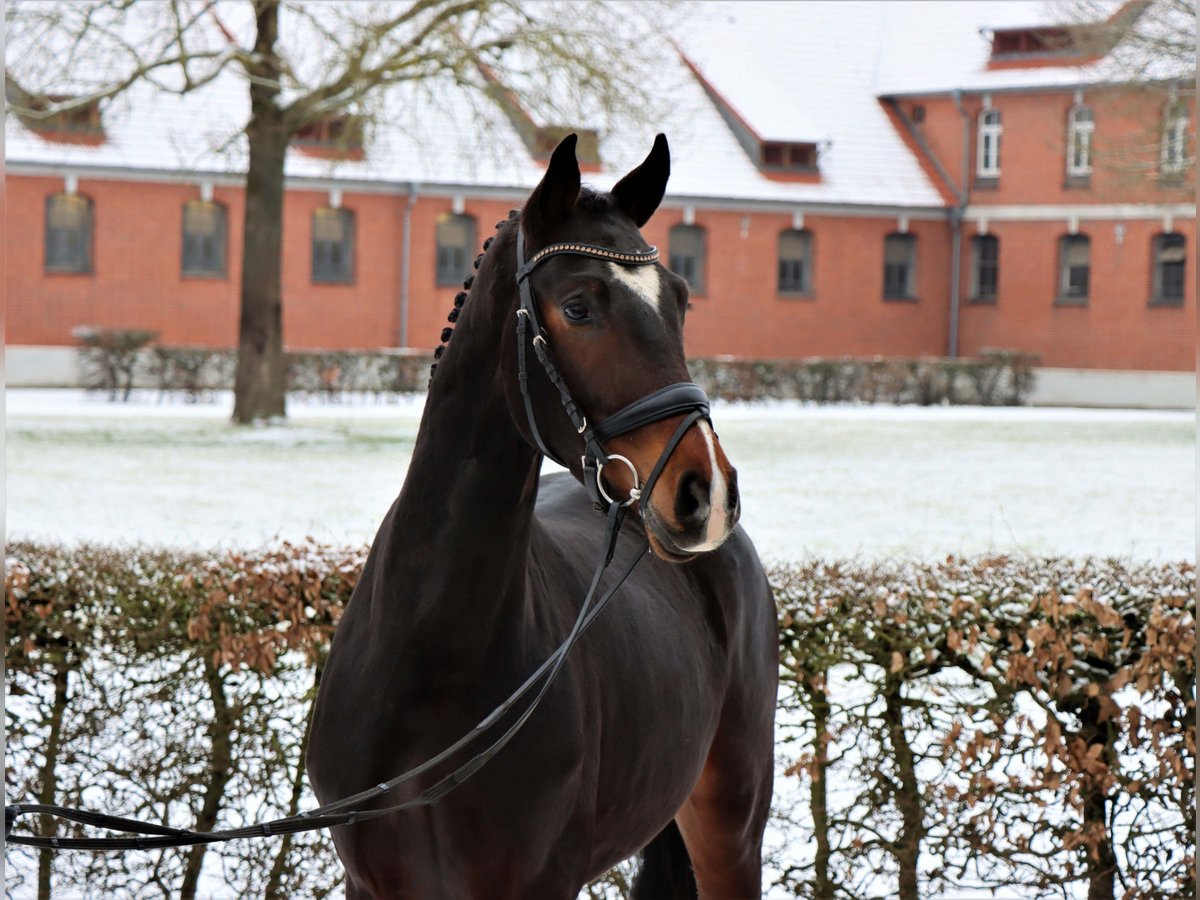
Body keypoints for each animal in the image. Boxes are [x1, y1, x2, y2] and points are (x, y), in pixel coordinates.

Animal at [309, 133, 777, 900]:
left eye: (680, 300)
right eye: (580, 306)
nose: (705, 492)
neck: (433, 662)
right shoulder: (372, 884)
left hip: (730, 826)